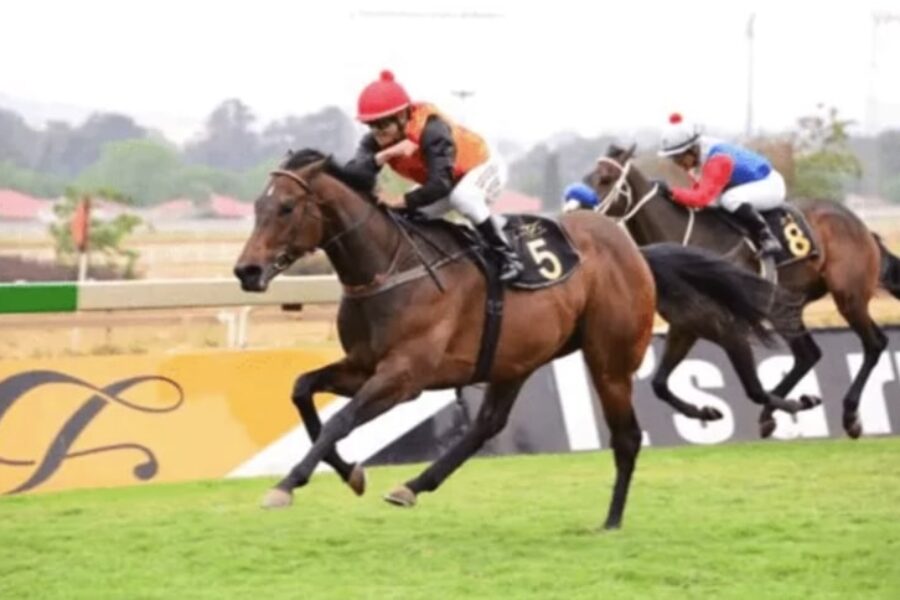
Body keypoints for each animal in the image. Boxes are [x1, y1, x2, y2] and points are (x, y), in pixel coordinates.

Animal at [233, 149, 786, 529]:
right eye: (258, 206)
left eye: (286, 208)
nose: (247, 271)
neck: (392, 266)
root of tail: (635, 252)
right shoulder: (364, 365)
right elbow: (304, 392)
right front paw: (350, 472)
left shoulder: (404, 376)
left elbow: (338, 421)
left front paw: (287, 484)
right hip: (515, 360)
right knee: (487, 425)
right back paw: (414, 485)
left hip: (609, 358)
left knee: (627, 436)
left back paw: (612, 519)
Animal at [586, 143, 900, 439]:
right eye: (588, 176)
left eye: (605, 178)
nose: (580, 212)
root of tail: (860, 225)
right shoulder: (686, 325)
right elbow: (659, 384)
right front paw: (706, 412)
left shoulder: (728, 325)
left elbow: (753, 388)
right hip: (784, 307)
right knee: (808, 354)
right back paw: (770, 416)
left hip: (849, 296)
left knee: (874, 344)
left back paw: (849, 414)